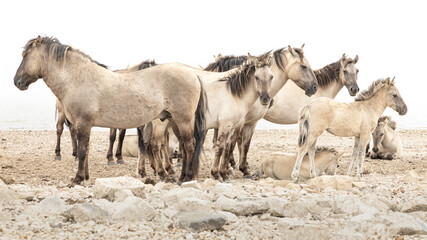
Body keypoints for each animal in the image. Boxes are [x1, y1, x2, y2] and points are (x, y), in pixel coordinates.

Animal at [15, 36, 210, 186]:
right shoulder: (83, 125)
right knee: (185, 145)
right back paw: (182, 176)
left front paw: (78, 179)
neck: (77, 78)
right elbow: (86, 150)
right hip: (174, 120)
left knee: (189, 145)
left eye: (25, 55)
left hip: (182, 119)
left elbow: (83, 151)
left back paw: (187, 178)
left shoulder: (83, 124)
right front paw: (85, 177)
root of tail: (194, 75)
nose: (16, 81)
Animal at [206, 45, 320, 176]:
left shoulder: (249, 122)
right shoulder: (239, 122)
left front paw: (241, 167)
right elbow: (232, 143)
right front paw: (229, 169)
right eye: (303, 66)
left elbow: (244, 144)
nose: (314, 87)